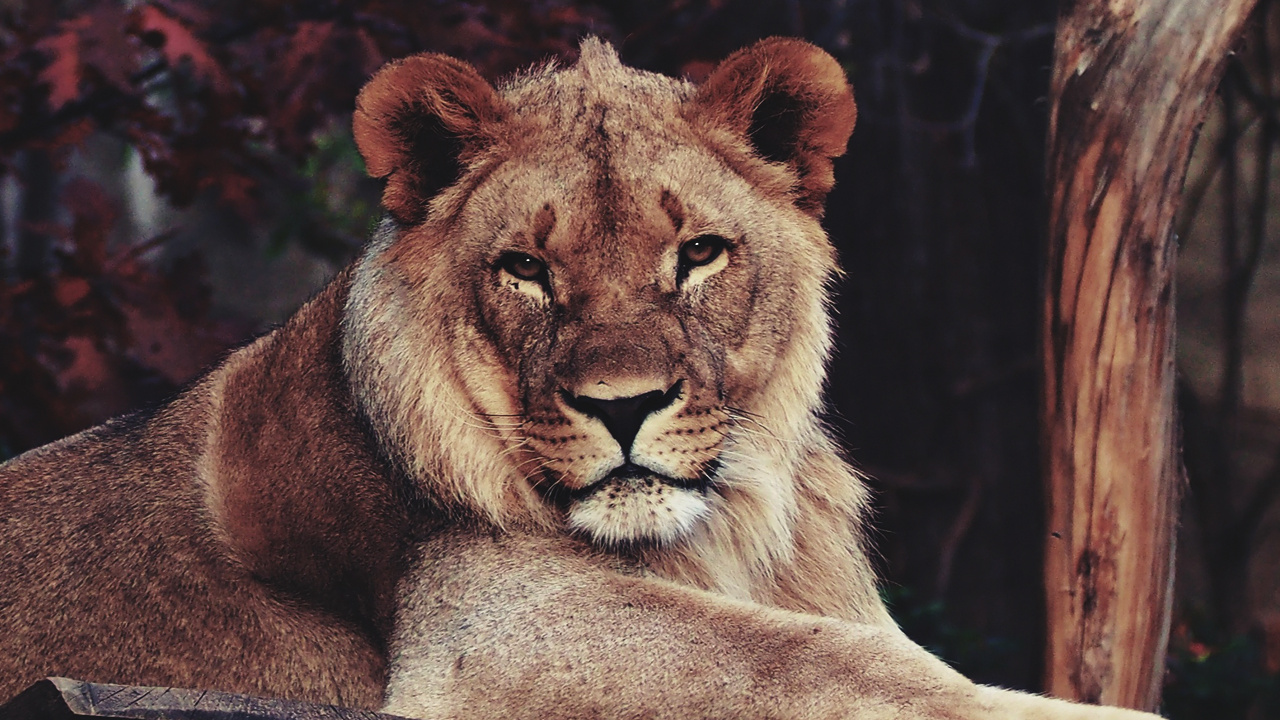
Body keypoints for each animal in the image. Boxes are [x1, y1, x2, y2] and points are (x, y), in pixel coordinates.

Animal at [0, 37, 1159, 719]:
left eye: (698, 254)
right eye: (525, 270)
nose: (624, 407)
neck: (723, 531)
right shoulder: (484, 637)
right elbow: (827, 663)